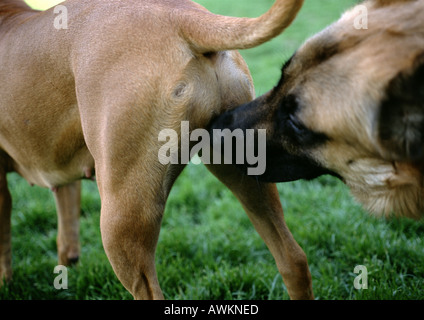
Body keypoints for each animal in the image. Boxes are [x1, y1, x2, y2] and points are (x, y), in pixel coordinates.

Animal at [0, 0, 318, 300]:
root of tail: (180, 14)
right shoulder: (61, 176)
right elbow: (66, 235)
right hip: (243, 172)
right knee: (293, 259)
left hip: (121, 216)